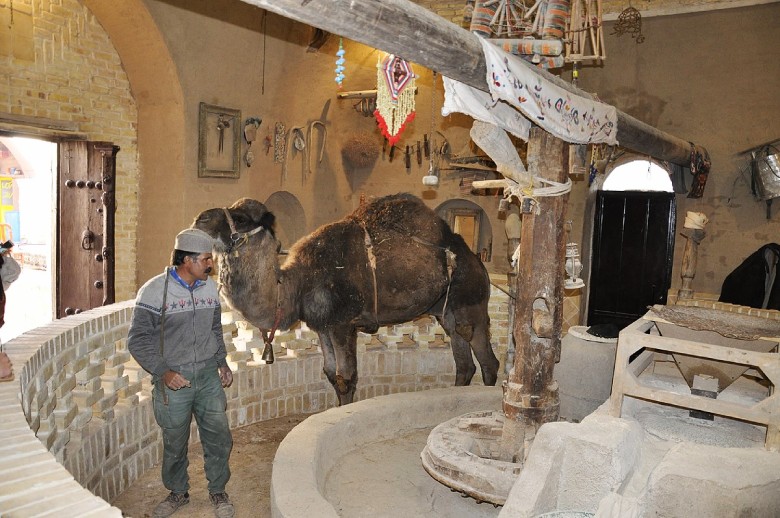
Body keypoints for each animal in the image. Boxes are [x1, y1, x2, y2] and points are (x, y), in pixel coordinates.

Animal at [192, 193, 499, 405]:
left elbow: (347, 378)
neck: (295, 285)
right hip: (446, 313)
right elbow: (331, 374)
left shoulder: (344, 324)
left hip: (471, 306)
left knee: (488, 362)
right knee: (464, 364)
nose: (200, 218)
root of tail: (478, 263)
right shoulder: (322, 326)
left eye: (242, 218)